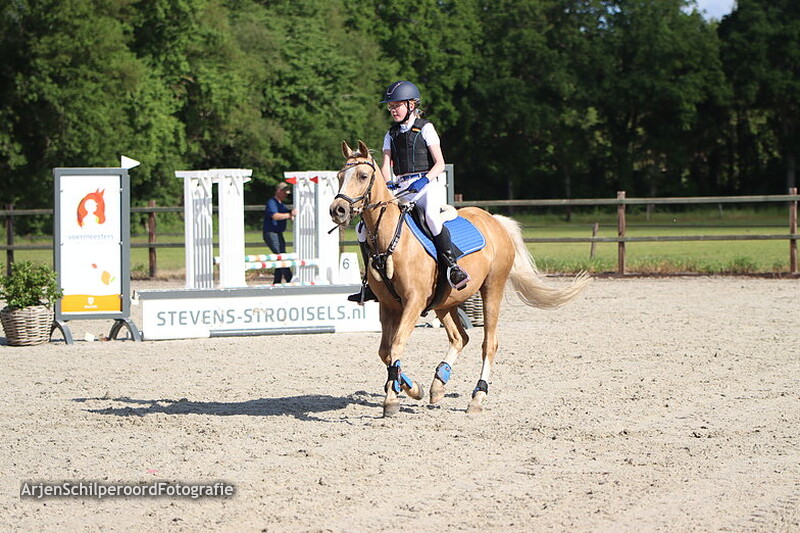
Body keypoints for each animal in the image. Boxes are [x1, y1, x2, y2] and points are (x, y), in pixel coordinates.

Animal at [329, 140, 590, 416]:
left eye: (362, 176)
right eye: (339, 177)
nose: (338, 210)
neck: (392, 239)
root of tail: (494, 220)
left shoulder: (414, 302)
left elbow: (397, 344)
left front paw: (392, 399)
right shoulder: (389, 306)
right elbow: (386, 352)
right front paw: (412, 388)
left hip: (492, 289)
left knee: (489, 343)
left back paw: (478, 396)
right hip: (445, 301)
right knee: (460, 337)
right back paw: (438, 383)